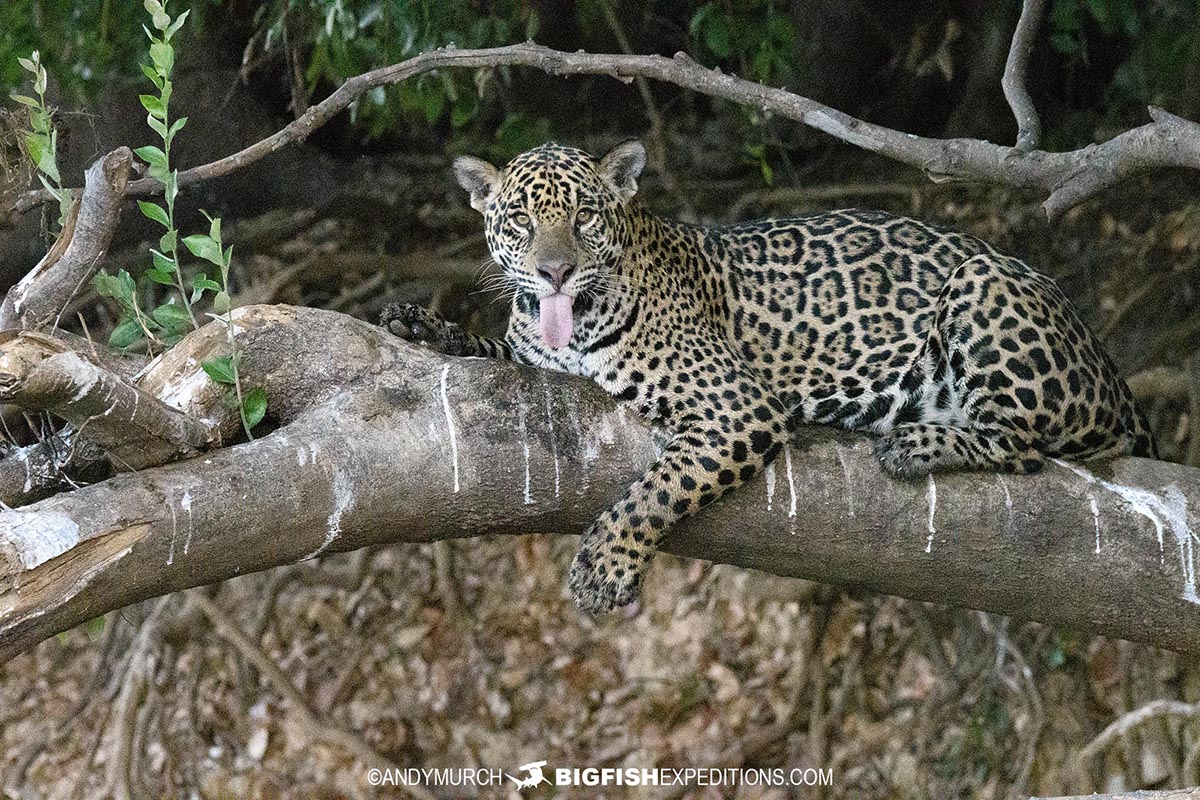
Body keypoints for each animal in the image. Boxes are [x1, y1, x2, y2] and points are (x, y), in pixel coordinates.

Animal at [380, 140, 1155, 616]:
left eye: (585, 217)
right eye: (519, 220)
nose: (555, 272)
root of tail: (1113, 375)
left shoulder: (736, 407)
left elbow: (653, 492)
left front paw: (602, 568)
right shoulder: (528, 353)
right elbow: (488, 348)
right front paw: (423, 324)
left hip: (982, 285)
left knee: (1024, 444)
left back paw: (917, 442)